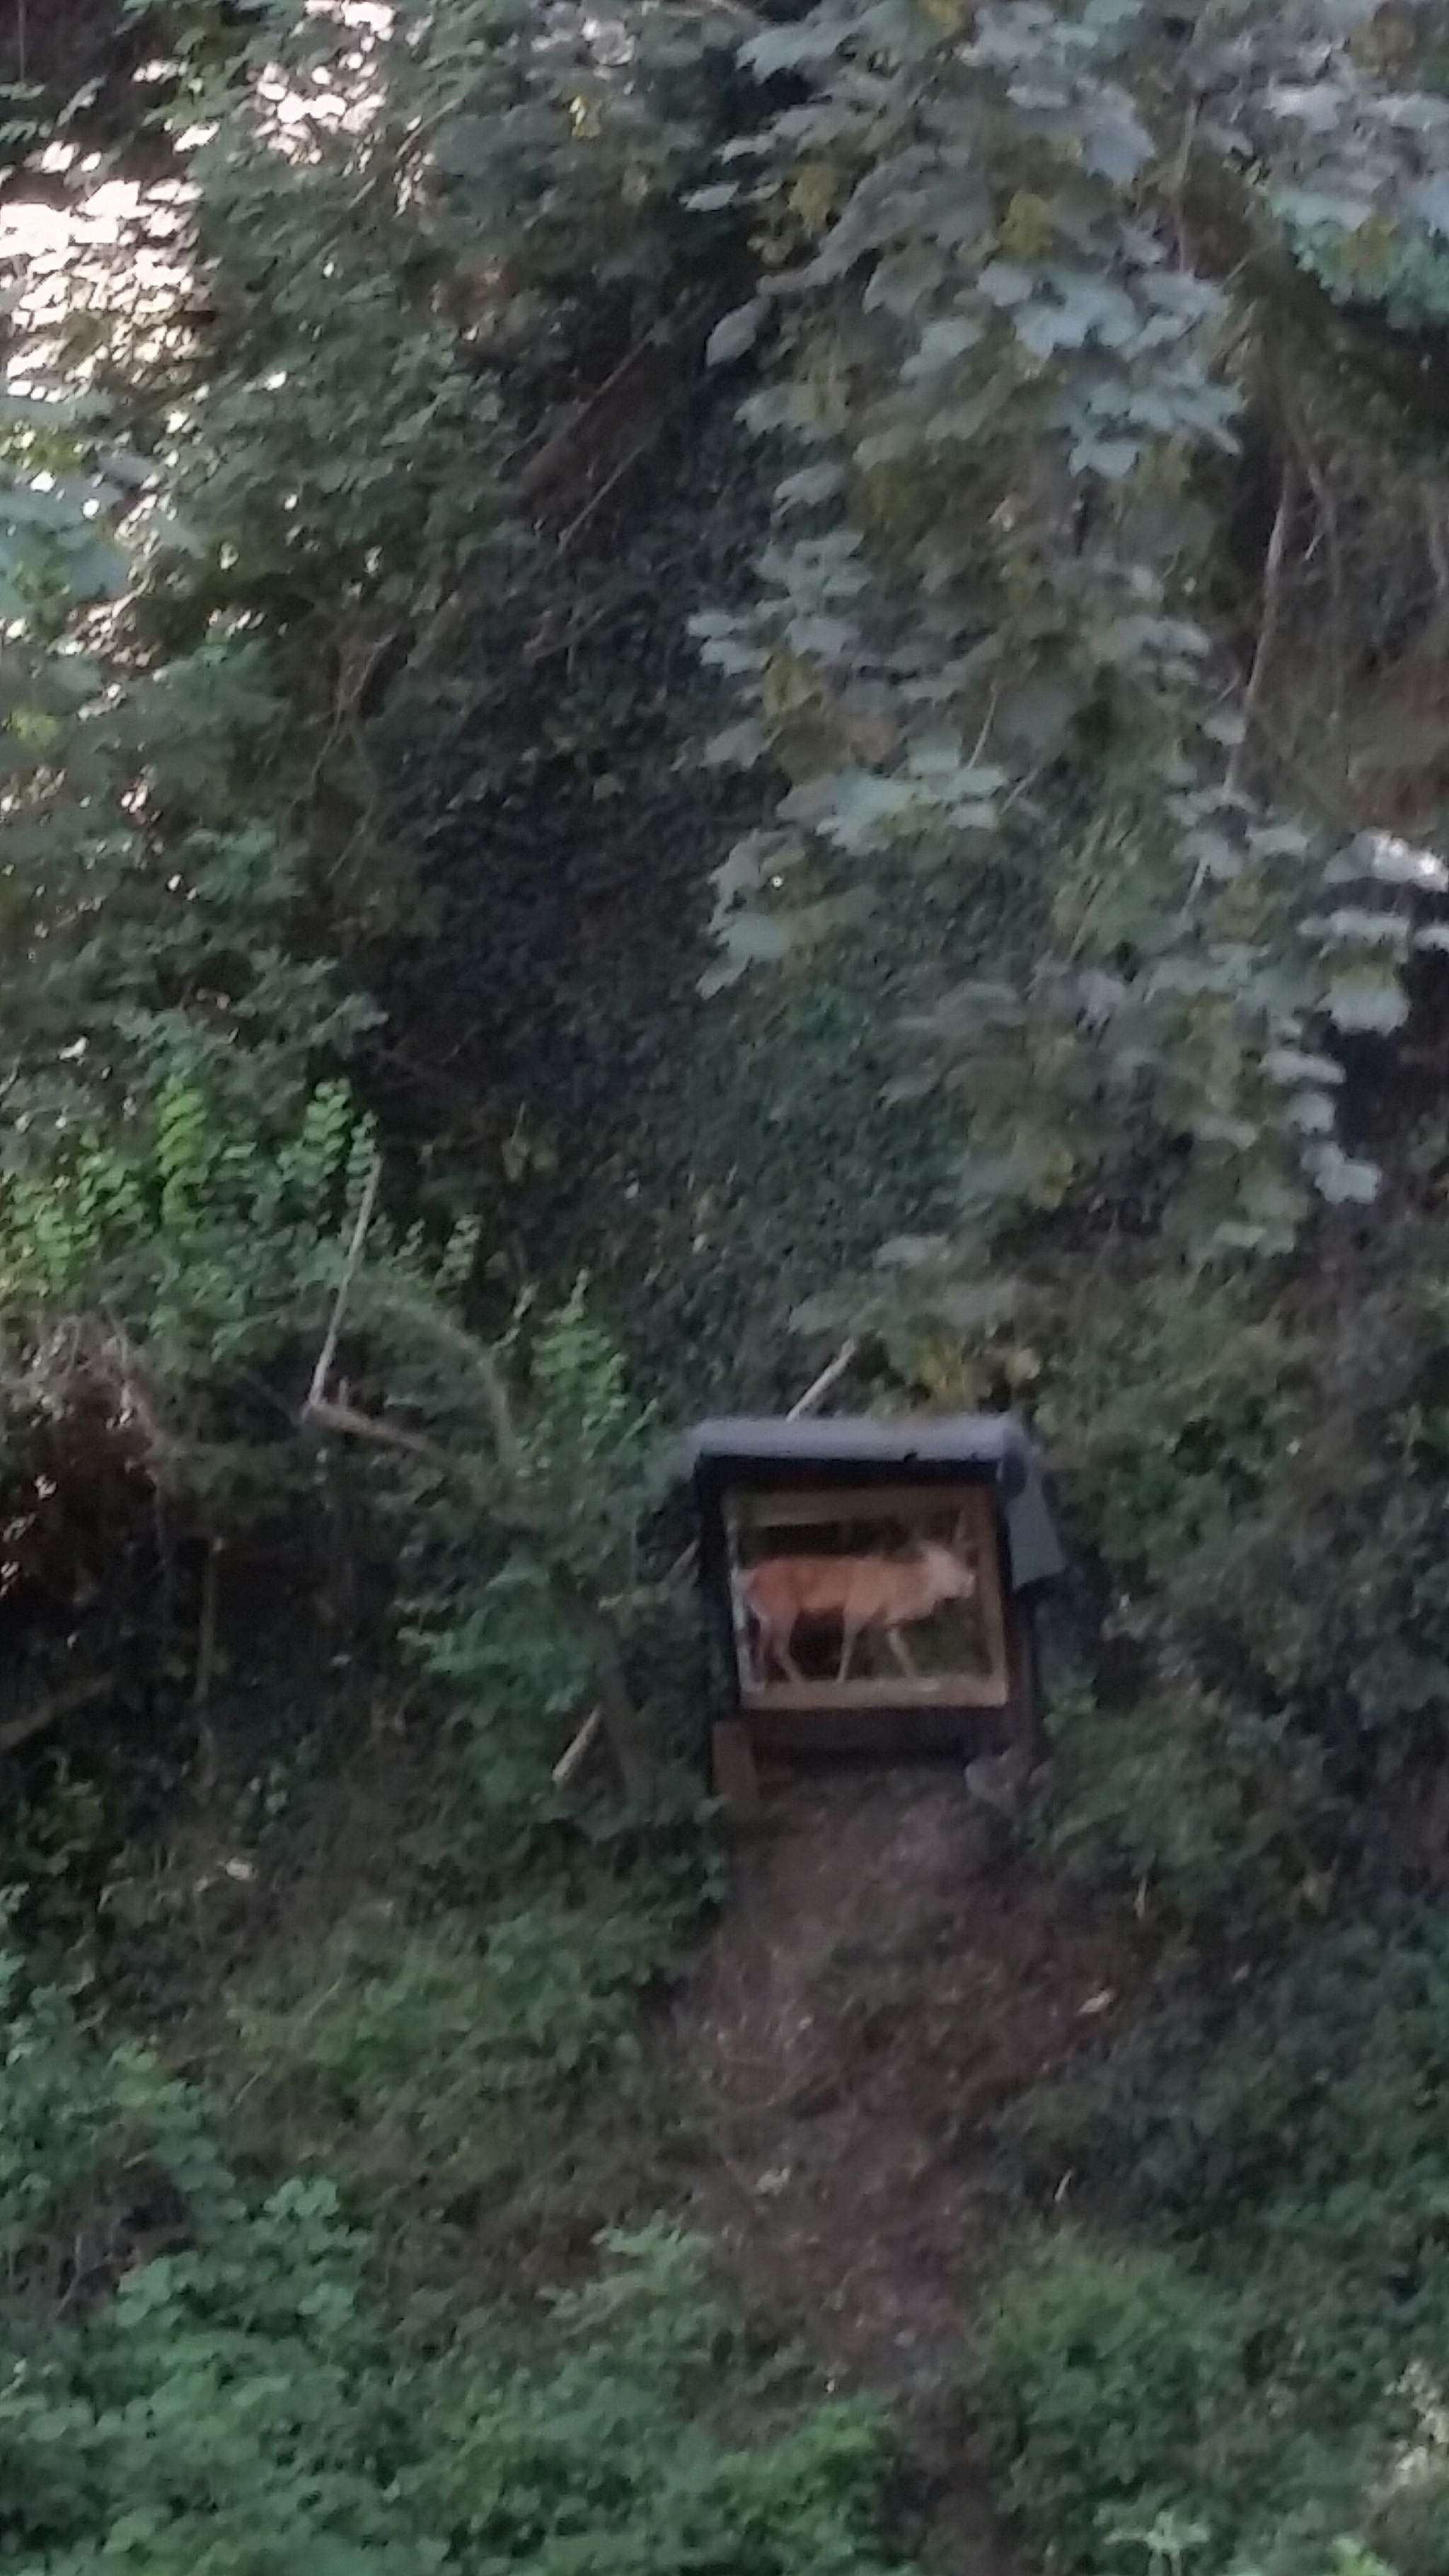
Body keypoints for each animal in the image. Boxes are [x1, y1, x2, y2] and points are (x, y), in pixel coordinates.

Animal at [740, 1526, 977, 1685]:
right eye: (950, 1564)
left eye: (960, 1560)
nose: (971, 1581)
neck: (898, 1597)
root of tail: (750, 1577)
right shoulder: (857, 1607)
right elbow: (848, 1647)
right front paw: (840, 1680)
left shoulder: (889, 1623)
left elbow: (901, 1650)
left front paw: (916, 1677)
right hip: (784, 1608)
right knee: (778, 1647)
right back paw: (801, 1681)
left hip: (765, 1615)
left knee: (759, 1646)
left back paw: (761, 1682)